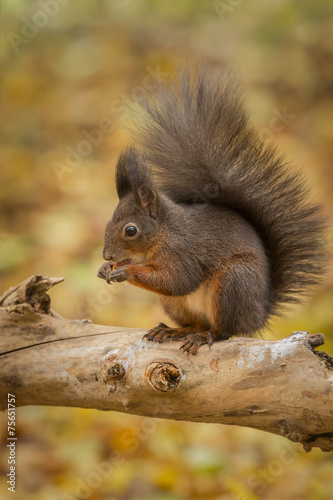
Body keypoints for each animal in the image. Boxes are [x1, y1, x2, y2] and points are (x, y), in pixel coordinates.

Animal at [97, 68, 326, 356]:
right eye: (107, 223)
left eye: (130, 230)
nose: (107, 254)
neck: (163, 234)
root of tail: (259, 315)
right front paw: (106, 268)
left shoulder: (182, 253)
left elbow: (177, 281)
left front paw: (125, 271)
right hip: (176, 304)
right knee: (196, 323)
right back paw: (173, 330)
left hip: (232, 285)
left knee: (223, 331)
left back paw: (203, 336)